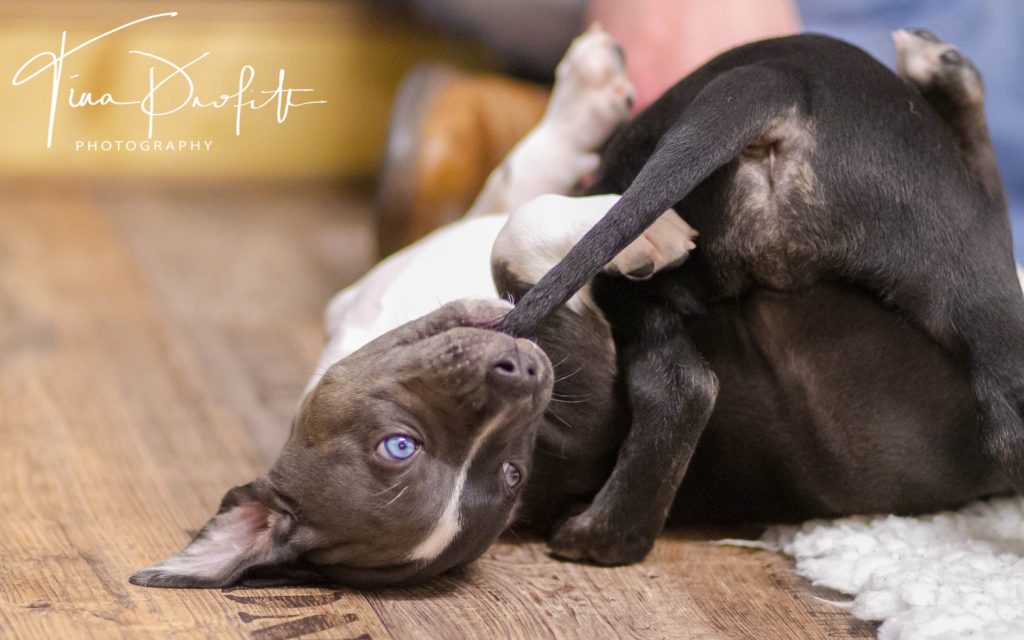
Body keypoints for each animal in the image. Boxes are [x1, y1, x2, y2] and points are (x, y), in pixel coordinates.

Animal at [131, 27, 1019, 588]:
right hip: (961, 247)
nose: (524, 370)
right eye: (400, 448)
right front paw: (642, 223)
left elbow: (515, 181)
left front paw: (584, 100)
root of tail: (775, 96)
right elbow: (521, 214)